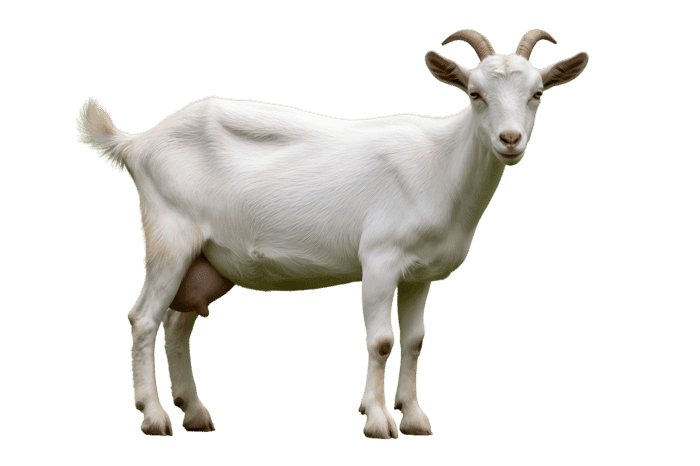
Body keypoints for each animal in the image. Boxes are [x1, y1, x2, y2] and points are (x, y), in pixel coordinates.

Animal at [75, 29, 588, 438]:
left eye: (538, 93)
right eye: (474, 93)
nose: (509, 140)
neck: (441, 164)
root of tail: (137, 143)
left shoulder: (420, 273)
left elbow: (414, 341)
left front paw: (414, 418)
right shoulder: (380, 259)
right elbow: (381, 342)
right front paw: (379, 421)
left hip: (207, 259)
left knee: (178, 325)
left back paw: (195, 413)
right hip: (171, 236)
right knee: (144, 319)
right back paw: (154, 416)